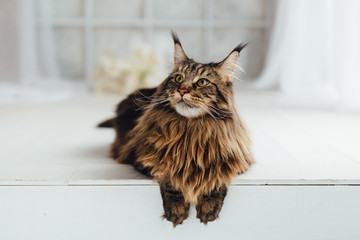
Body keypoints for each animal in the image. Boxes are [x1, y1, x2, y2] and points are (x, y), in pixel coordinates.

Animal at [97, 32, 255, 227]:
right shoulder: (144, 159)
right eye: (178, 78)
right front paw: (177, 209)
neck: (191, 129)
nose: (181, 90)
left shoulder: (237, 161)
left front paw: (209, 208)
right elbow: (171, 176)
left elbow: (217, 178)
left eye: (202, 82)